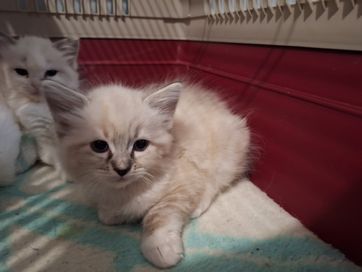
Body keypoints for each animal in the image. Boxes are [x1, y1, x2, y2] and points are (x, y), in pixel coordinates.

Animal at [40, 79, 249, 268]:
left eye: (140, 145)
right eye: (99, 146)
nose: (122, 169)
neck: (125, 193)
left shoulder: (183, 182)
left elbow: (158, 213)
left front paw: (159, 248)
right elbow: (106, 217)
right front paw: (120, 215)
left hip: (227, 157)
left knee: (215, 184)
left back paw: (198, 207)